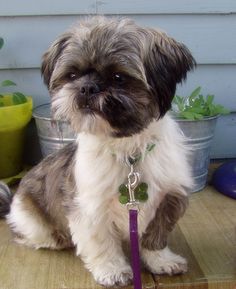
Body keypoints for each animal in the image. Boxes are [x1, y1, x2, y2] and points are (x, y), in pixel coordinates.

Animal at [0, 16, 195, 286]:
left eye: (118, 77)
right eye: (72, 75)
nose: (87, 87)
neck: (128, 152)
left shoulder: (168, 197)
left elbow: (154, 236)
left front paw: (161, 261)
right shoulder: (89, 207)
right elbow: (101, 241)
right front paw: (113, 270)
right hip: (31, 218)